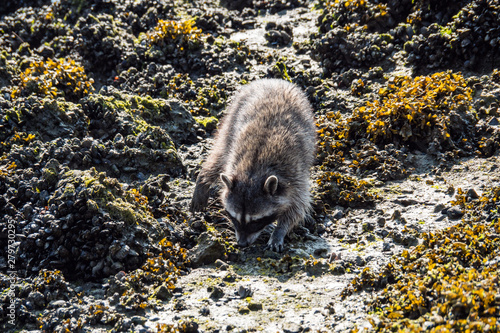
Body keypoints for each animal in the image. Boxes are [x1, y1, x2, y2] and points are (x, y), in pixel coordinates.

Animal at [191, 78, 316, 249]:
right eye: (235, 218)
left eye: (256, 221)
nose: (242, 244)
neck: (253, 173)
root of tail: (272, 80)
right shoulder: (234, 161)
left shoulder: (295, 177)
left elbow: (297, 208)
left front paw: (279, 231)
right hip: (231, 119)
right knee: (219, 154)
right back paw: (203, 179)